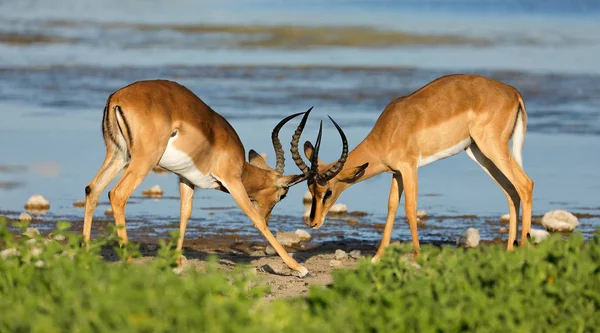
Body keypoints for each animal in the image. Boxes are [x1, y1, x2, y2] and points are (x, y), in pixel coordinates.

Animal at [85, 79, 318, 276]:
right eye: (282, 195)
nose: (268, 216)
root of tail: (116, 97)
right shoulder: (232, 181)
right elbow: (254, 219)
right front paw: (299, 268)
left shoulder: (186, 179)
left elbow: (185, 213)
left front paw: (177, 263)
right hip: (143, 160)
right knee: (117, 194)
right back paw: (130, 262)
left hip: (118, 155)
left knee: (92, 189)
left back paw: (84, 254)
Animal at [296, 74, 536, 260]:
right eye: (310, 189)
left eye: (328, 191)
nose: (312, 222)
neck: (389, 130)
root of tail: (513, 92)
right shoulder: (397, 174)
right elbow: (391, 207)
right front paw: (377, 257)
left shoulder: (409, 167)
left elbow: (410, 209)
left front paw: (417, 256)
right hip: (478, 153)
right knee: (510, 190)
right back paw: (509, 250)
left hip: (492, 147)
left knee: (525, 184)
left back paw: (523, 247)